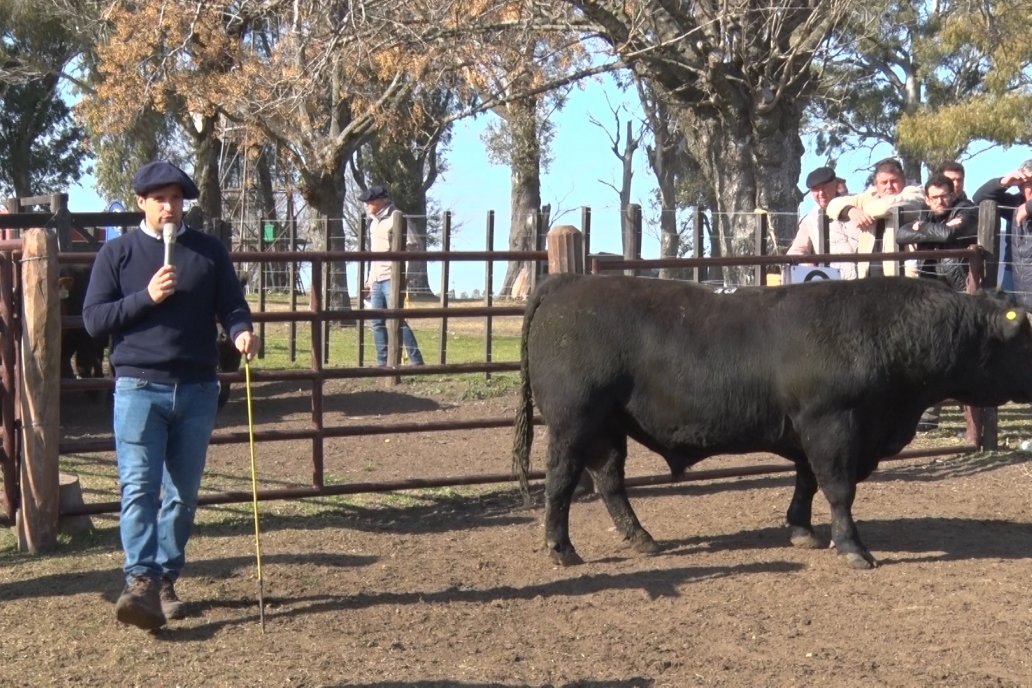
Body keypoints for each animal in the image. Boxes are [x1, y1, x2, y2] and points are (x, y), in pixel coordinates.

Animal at [511, 274, 1032, 569]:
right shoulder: (832, 424)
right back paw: (561, 549)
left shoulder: (811, 430)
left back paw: (642, 539)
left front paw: (802, 531)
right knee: (560, 481)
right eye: (1024, 335)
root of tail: (566, 283)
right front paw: (852, 548)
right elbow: (838, 489)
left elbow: (807, 482)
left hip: (608, 425)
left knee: (609, 479)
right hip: (573, 421)